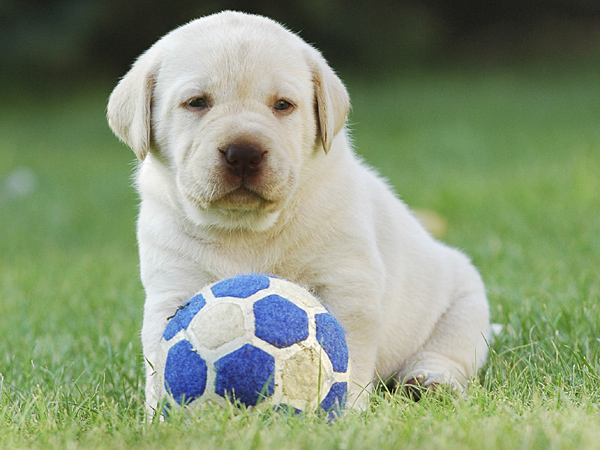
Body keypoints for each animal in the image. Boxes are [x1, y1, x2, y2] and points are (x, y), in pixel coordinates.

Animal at [108, 10, 492, 412]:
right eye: (196, 102)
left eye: (282, 105)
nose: (243, 153)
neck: (245, 228)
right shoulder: (172, 288)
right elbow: (160, 355)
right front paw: (161, 415)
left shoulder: (347, 284)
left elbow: (348, 352)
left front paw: (344, 410)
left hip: (466, 304)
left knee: (449, 353)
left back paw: (430, 381)